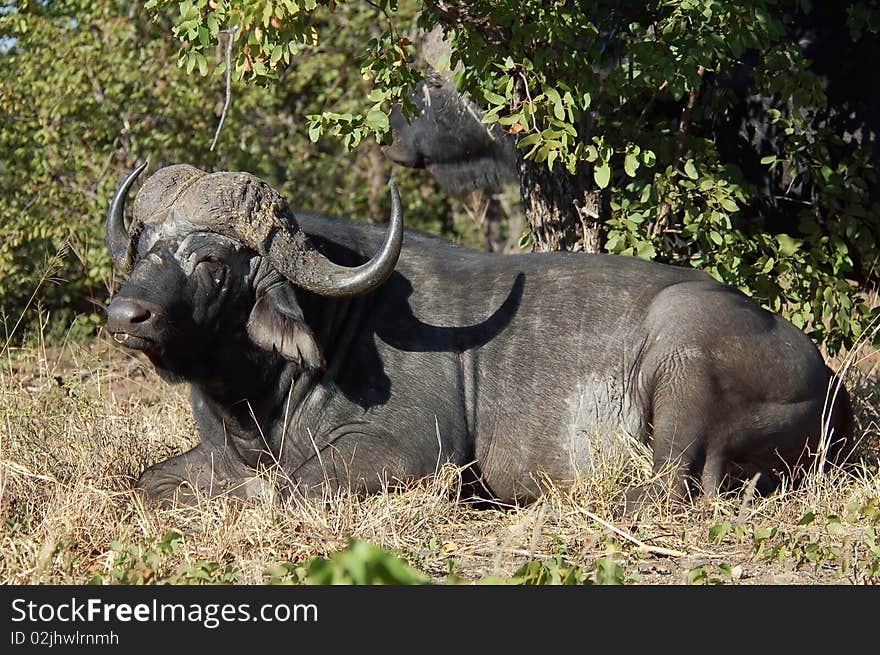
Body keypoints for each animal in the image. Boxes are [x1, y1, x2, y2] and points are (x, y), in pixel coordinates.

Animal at [105, 163, 852, 508]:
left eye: (212, 259)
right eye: (144, 245)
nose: (125, 316)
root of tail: (830, 384)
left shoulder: (412, 454)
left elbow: (287, 486)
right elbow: (146, 479)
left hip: (683, 357)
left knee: (669, 483)